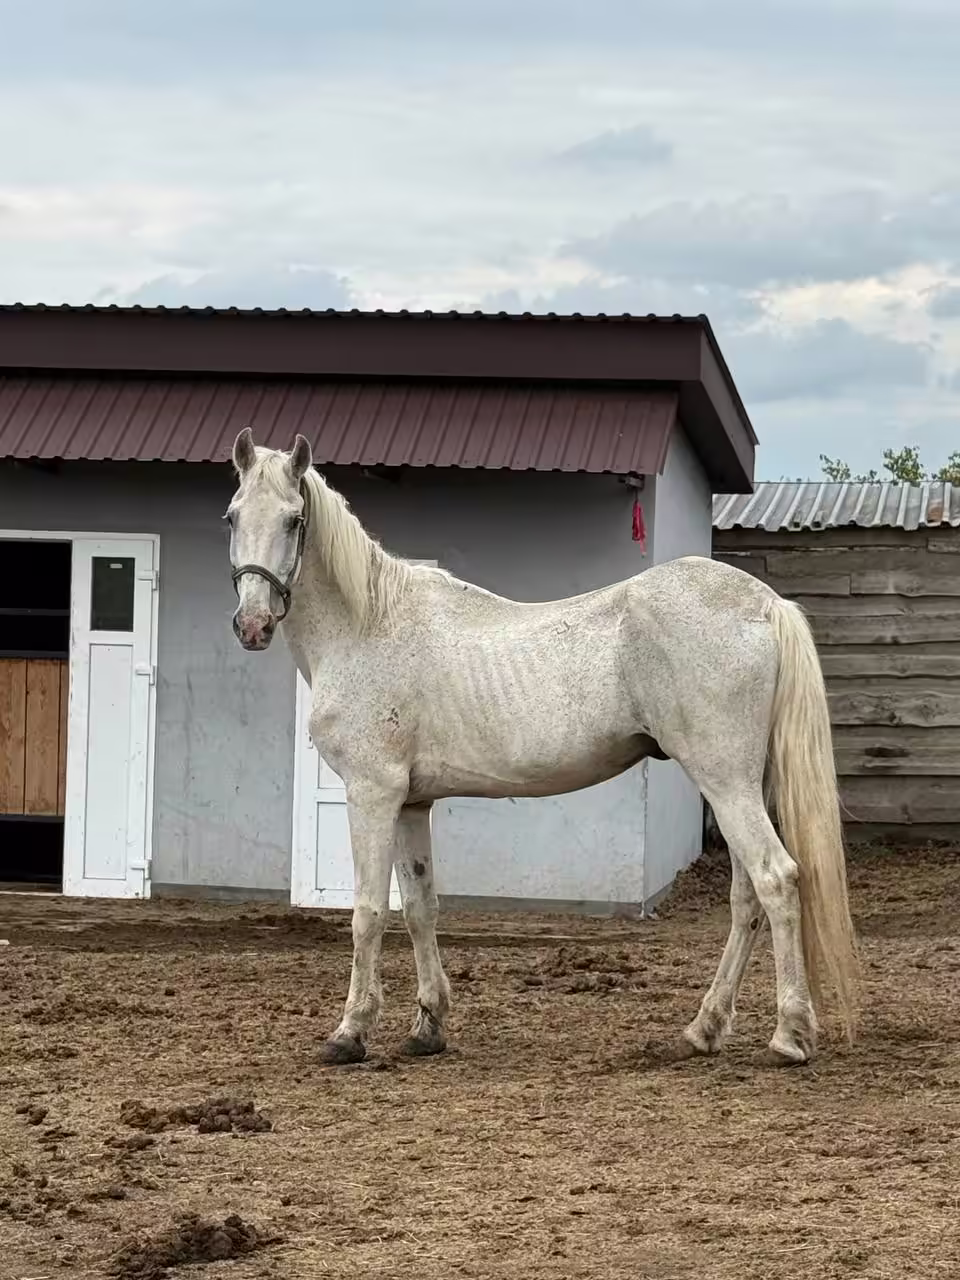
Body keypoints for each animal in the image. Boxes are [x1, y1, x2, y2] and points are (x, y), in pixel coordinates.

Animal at [225, 428, 859, 1068]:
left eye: (294, 519)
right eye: (232, 516)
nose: (251, 626)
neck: (369, 626)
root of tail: (764, 604)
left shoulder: (371, 794)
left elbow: (369, 913)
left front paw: (350, 1031)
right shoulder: (410, 803)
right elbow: (422, 907)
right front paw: (428, 1026)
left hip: (725, 781)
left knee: (776, 879)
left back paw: (789, 1035)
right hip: (740, 784)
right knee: (746, 897)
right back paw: (704, 1029)